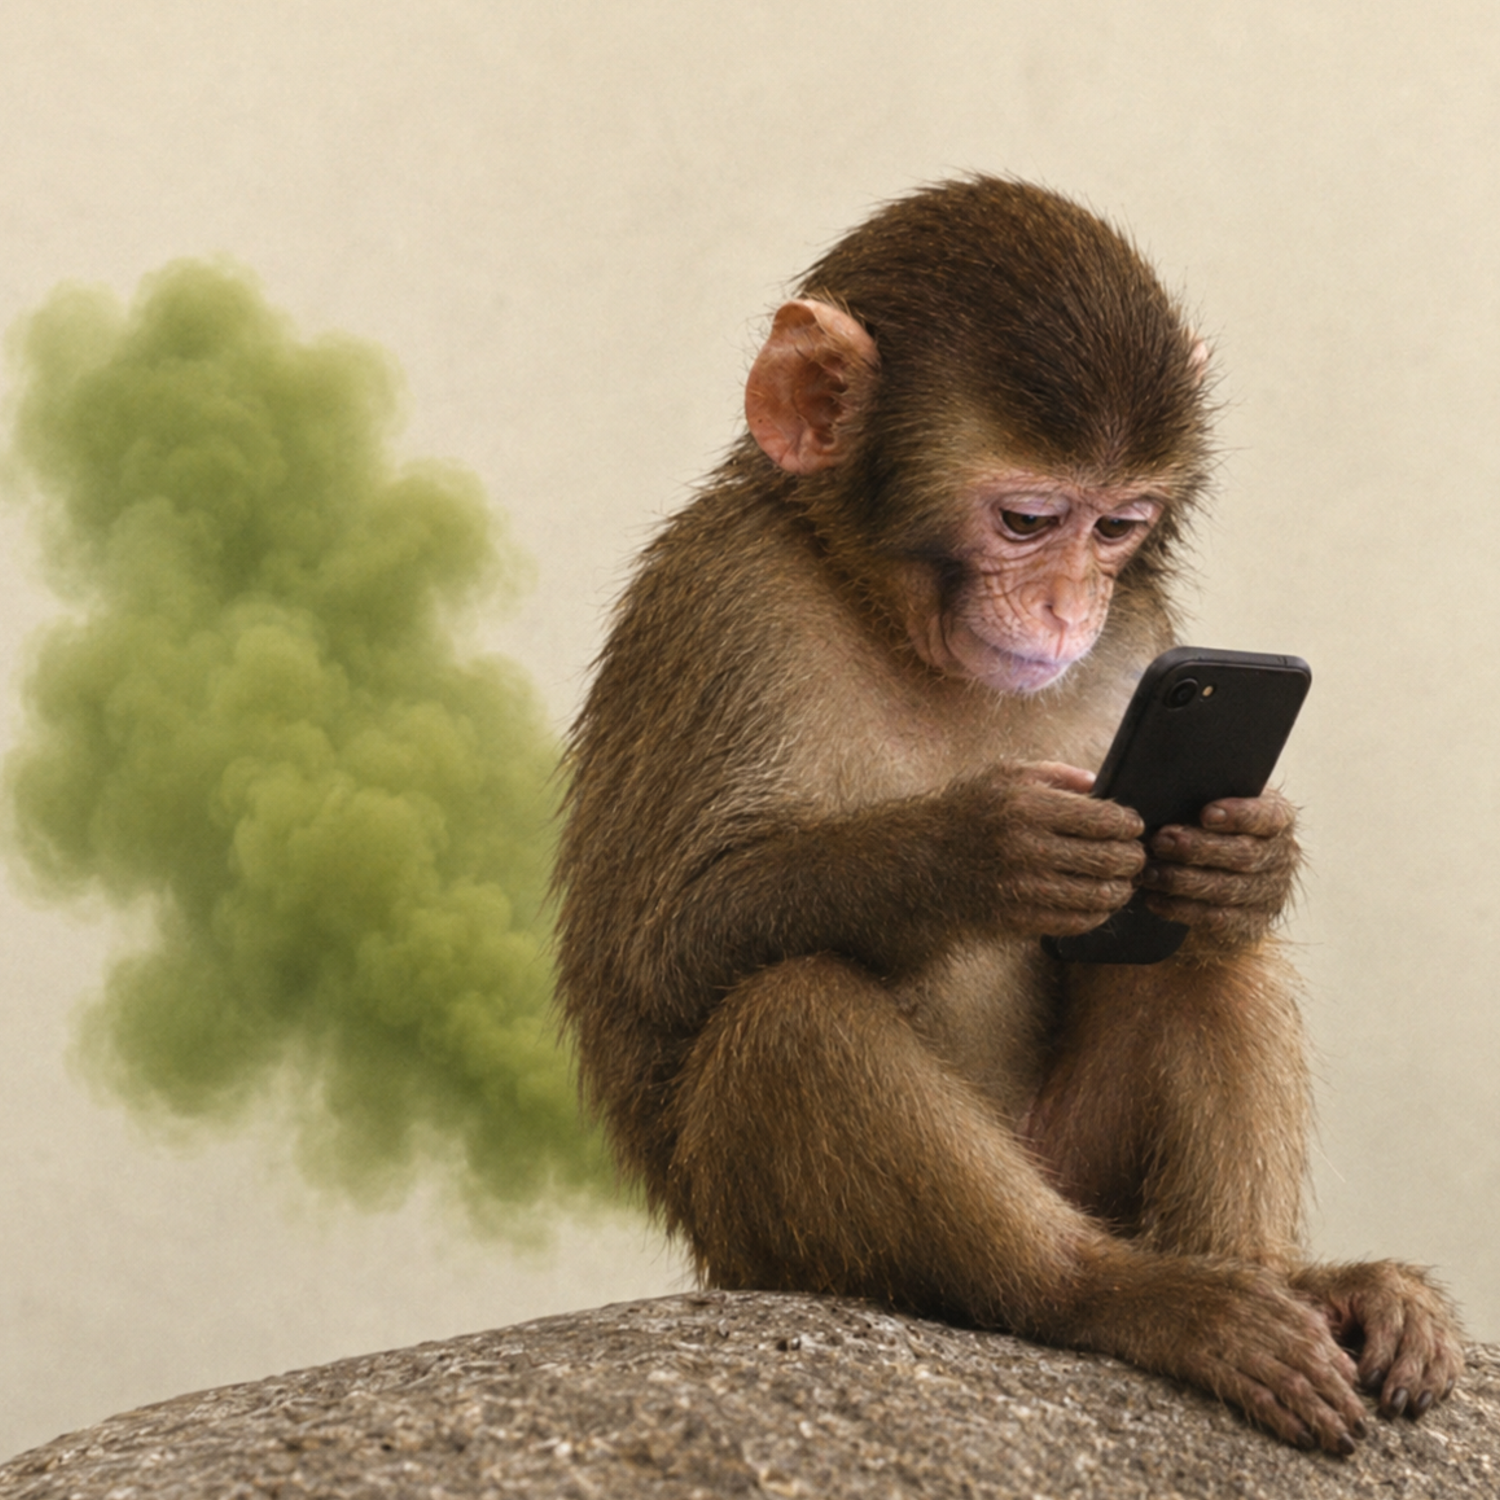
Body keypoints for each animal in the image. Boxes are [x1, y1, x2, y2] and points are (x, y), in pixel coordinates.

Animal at [554, 176, 1462, 1454]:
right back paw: (1117, 1295)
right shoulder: (721, 599)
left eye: (1119, 527)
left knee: (1203, 954)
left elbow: (1201, 903)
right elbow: (659, 948)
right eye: (1029, 521)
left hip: (1081, 1159)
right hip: (767, 1246)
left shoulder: (1144, 639)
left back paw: (1282, 1277)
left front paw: (1249, 853)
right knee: (791, 1012)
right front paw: (980, 849)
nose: (1069, 607)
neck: (886, 613)